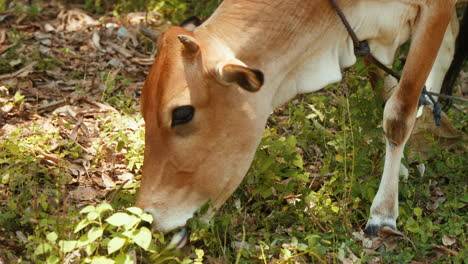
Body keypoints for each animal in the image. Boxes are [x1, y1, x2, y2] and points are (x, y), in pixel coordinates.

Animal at [134, 0, 458, 239]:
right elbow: (384, 91)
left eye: (182, 113)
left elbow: (398, 114)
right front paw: (402, 168)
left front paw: (384, 213)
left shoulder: (435, 9)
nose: (146, 217)